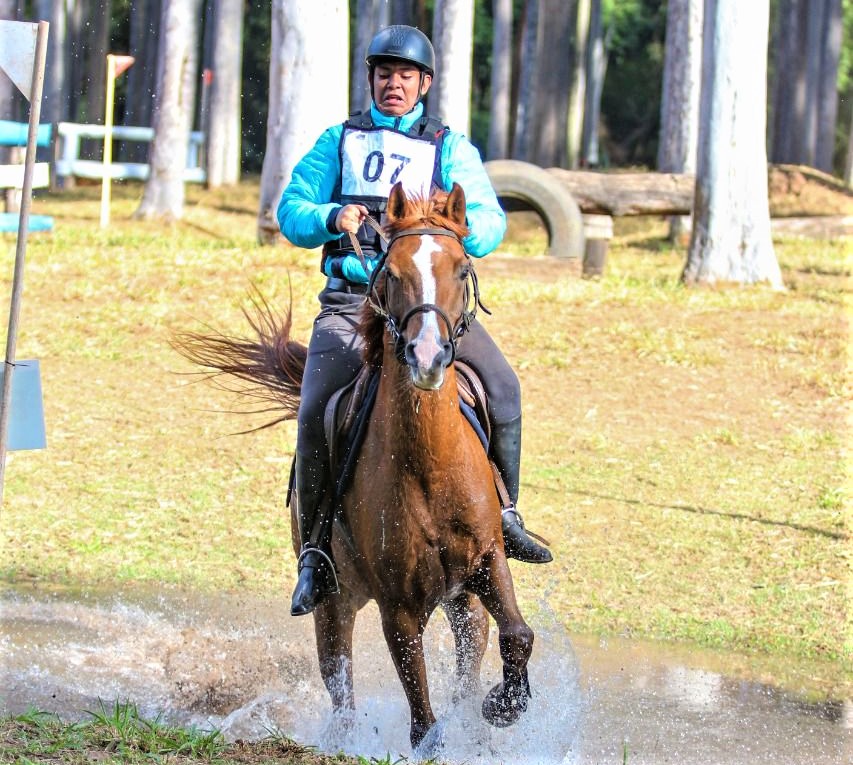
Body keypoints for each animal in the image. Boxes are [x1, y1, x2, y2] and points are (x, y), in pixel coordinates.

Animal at [175, 184, 532, 752]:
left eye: (460, 269)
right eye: (393, 273)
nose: (427, 356)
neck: (429, 469)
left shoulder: (487, 560)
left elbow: (518, 635)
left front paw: (502, 706)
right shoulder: (397, 608)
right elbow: (423, 724)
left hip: (462, 601)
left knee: (471, 651)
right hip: (333, 603)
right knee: (338, 682)